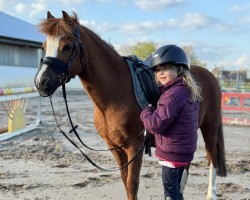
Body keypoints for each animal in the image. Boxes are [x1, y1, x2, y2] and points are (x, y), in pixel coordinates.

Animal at [34, 10, 228, 200]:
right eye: (44, 46)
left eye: (67, 46)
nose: (41, 82)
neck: (115, 94)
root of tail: (210, 76)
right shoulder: (115, 147)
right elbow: (125, 181)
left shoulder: (134, 147)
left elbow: (131, 184)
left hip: (209, 128)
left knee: (212, 158)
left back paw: (211, 194)